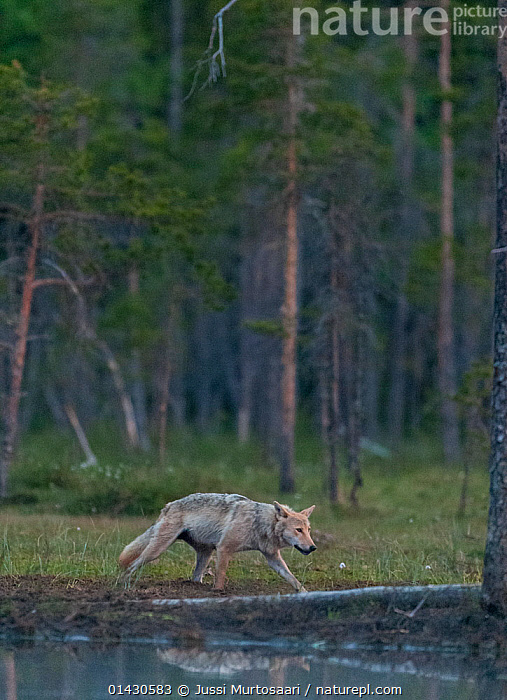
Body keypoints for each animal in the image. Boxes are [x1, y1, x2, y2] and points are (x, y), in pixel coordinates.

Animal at [119, 493, 316, 592]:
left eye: (308, 530)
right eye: (298, 530)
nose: (313, 547)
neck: (259, 523)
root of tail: (168, 505)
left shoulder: (273, 558)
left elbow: (294, 579)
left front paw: (306, 595)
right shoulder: (224, 549)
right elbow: (220, 575)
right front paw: (218, 593)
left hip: (205, 554)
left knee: (195, 577)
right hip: (157, 550)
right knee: (132, 565)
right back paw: (124, 585)